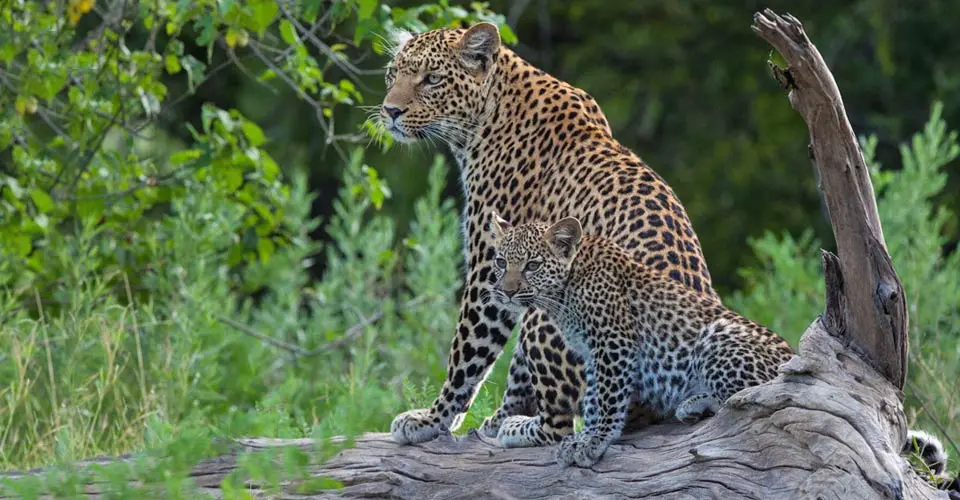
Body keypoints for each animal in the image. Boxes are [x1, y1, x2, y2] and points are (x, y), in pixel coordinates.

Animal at [382, 21, 721, 448]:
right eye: (393, 74)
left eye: (432, 79)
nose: (390, 111)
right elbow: (517, 370)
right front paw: (493, 418)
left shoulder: (490, 270)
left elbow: (466, 354)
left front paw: (432, 419)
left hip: (550, 319)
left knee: (561, 429)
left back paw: (518, 429)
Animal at [485, 213, 794, 466]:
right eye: (501, 262)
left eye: (532, 265)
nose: (506, 292)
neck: (563, 293)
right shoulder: (591, 352)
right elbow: (594, 396)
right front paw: (585, 436)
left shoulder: (613, 340)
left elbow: (608, 396)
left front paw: (596, 440)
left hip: (715, 336)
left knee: (750, 399)